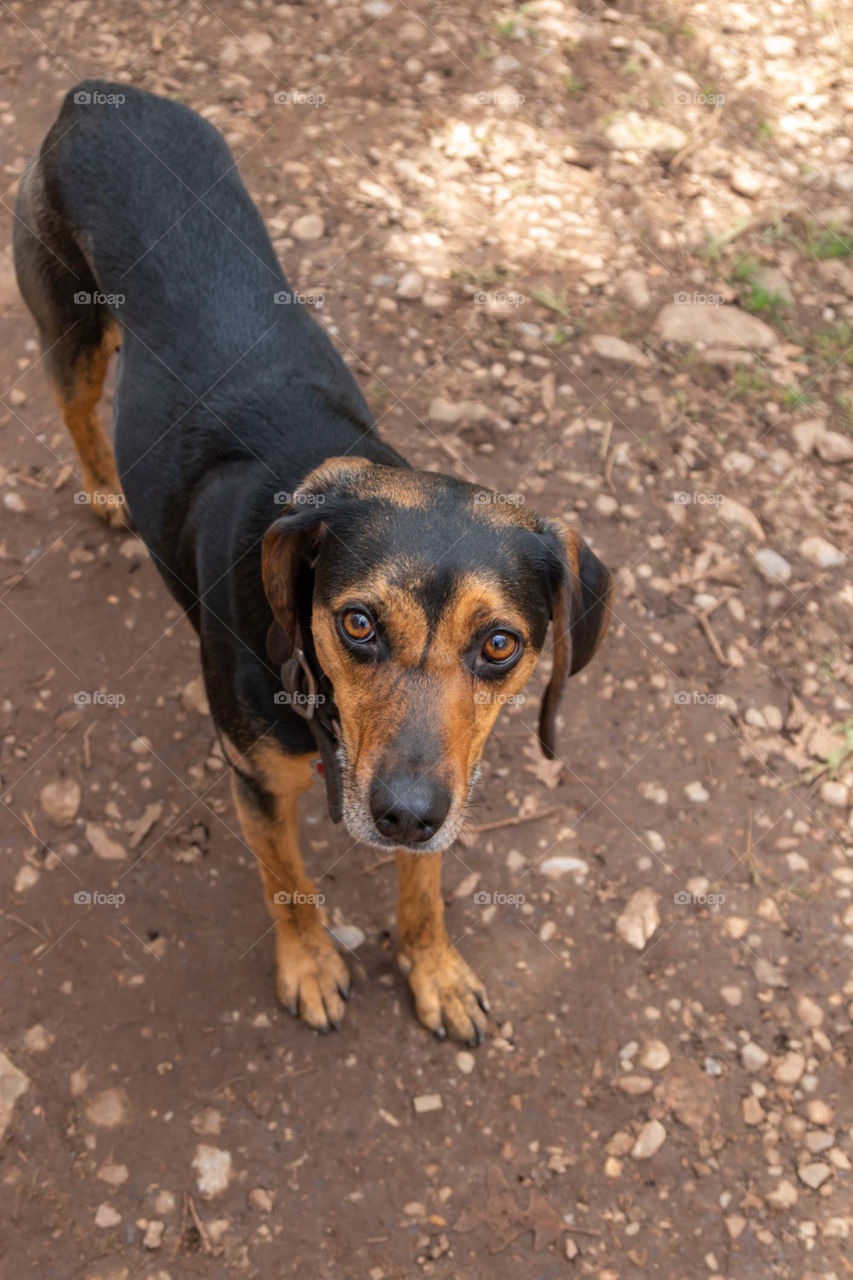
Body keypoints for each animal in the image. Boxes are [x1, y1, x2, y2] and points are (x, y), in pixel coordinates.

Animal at [13, 80, 612, 1044]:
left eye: (500, 646)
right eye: (356, 623)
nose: (403, 815)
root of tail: (100, 95)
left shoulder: (443, 789)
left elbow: (424, 884)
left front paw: (434, 969)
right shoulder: (254, 780)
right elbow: (287, 882)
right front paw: (309, 966)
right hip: (71, 326)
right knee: (73, 406)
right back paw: (105, 494)